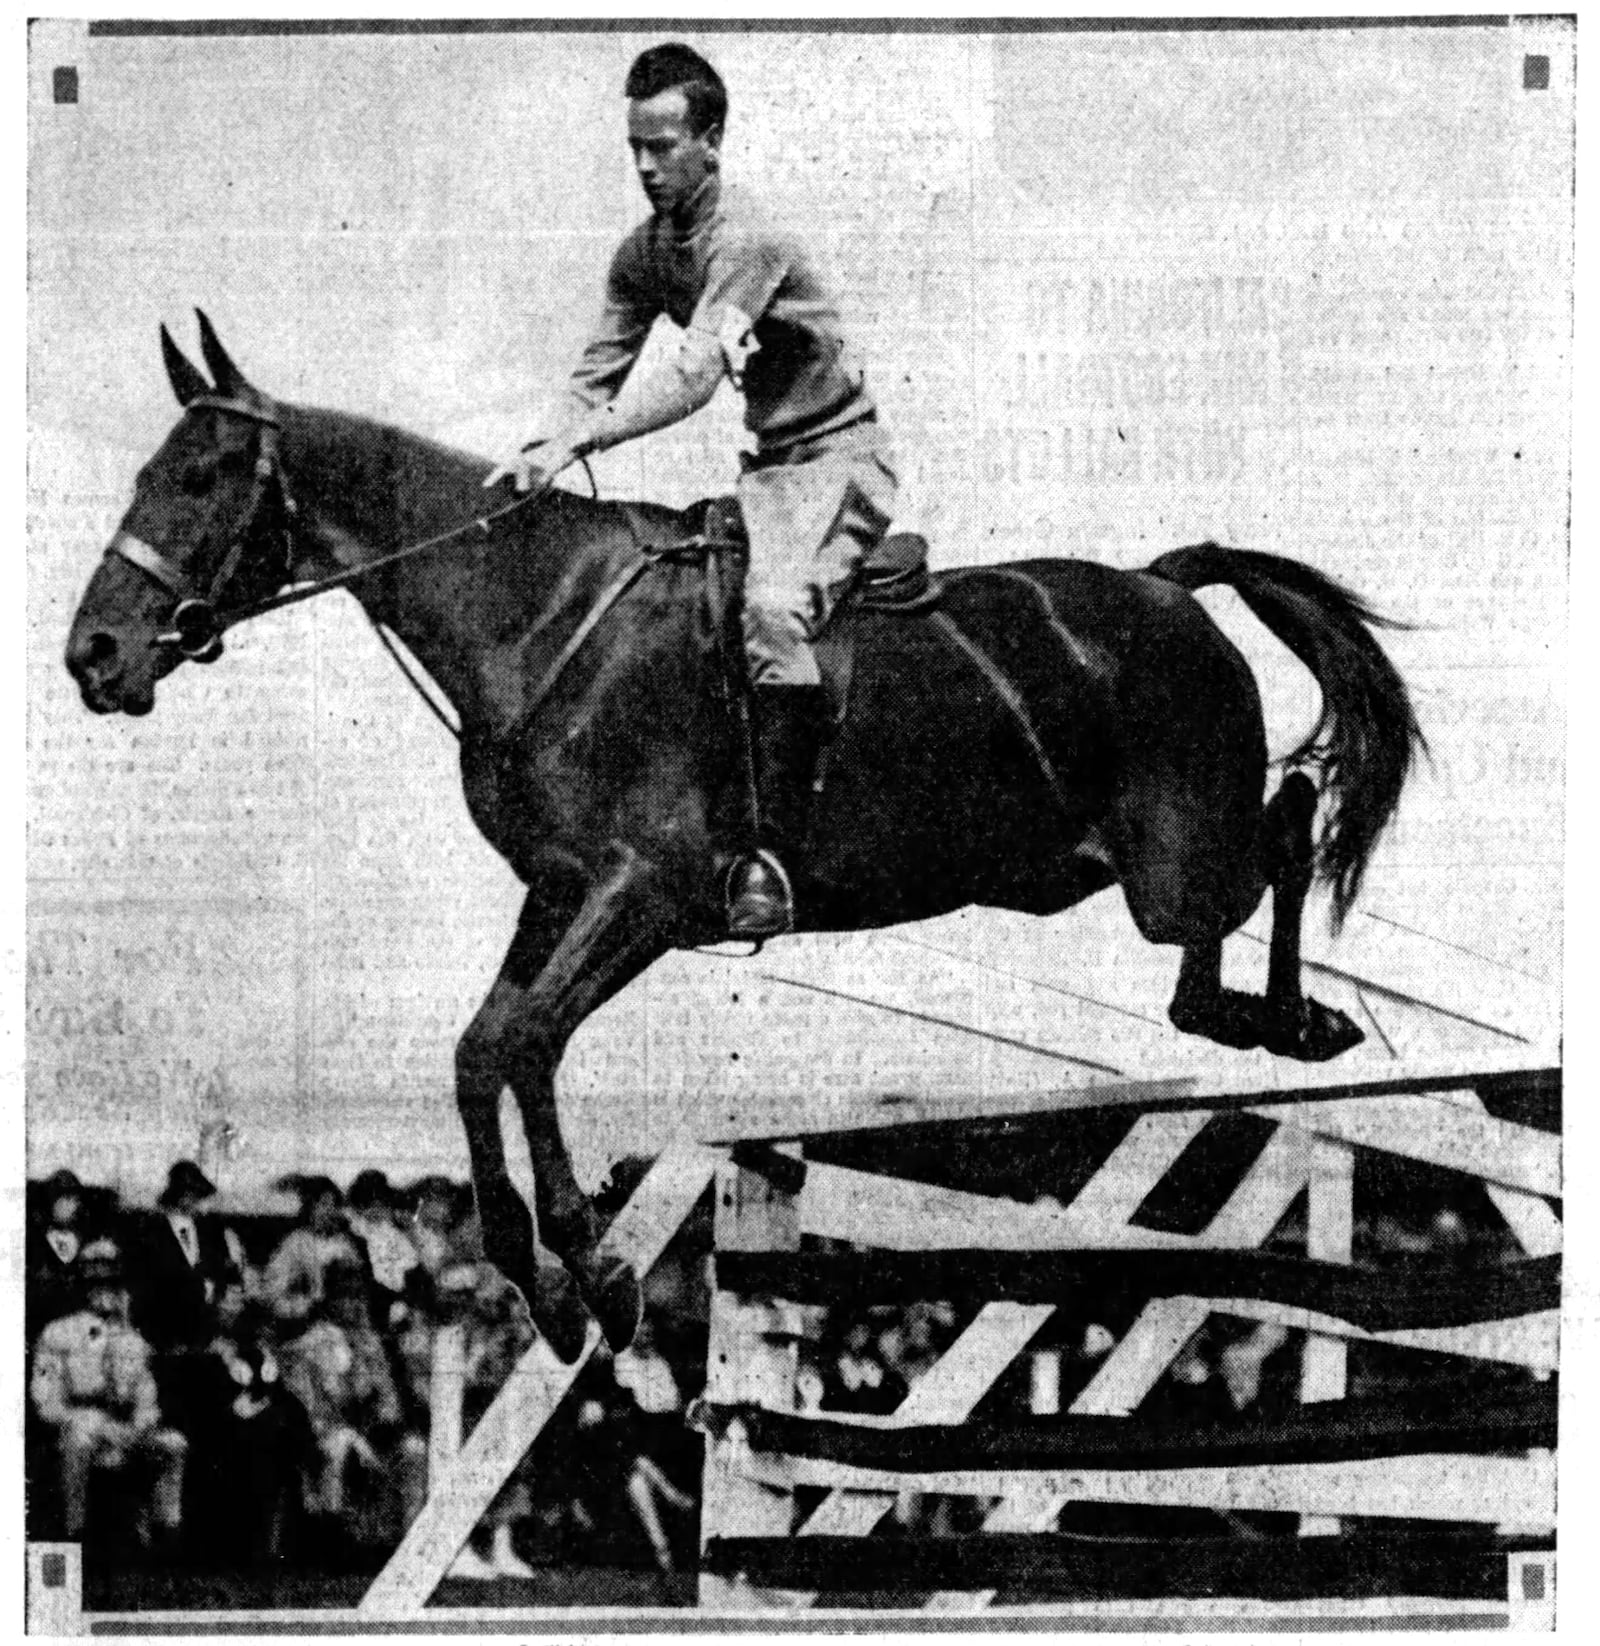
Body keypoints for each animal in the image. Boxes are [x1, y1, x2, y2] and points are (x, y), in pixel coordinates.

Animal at [65, 317, 1422, 1362]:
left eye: (198, 478)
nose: (95, 655)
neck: (541, 617)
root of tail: (1168, 583)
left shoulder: (649, 895)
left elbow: (521, 1039)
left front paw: (591, 1263)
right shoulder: (561, 896)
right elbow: (481, 1050)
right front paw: (550, 1281)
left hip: (1172, 862)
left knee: (1283, 837)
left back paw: (1299, 1018)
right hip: (1106, 871)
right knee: (1214, 947)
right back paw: (1263, 1017)